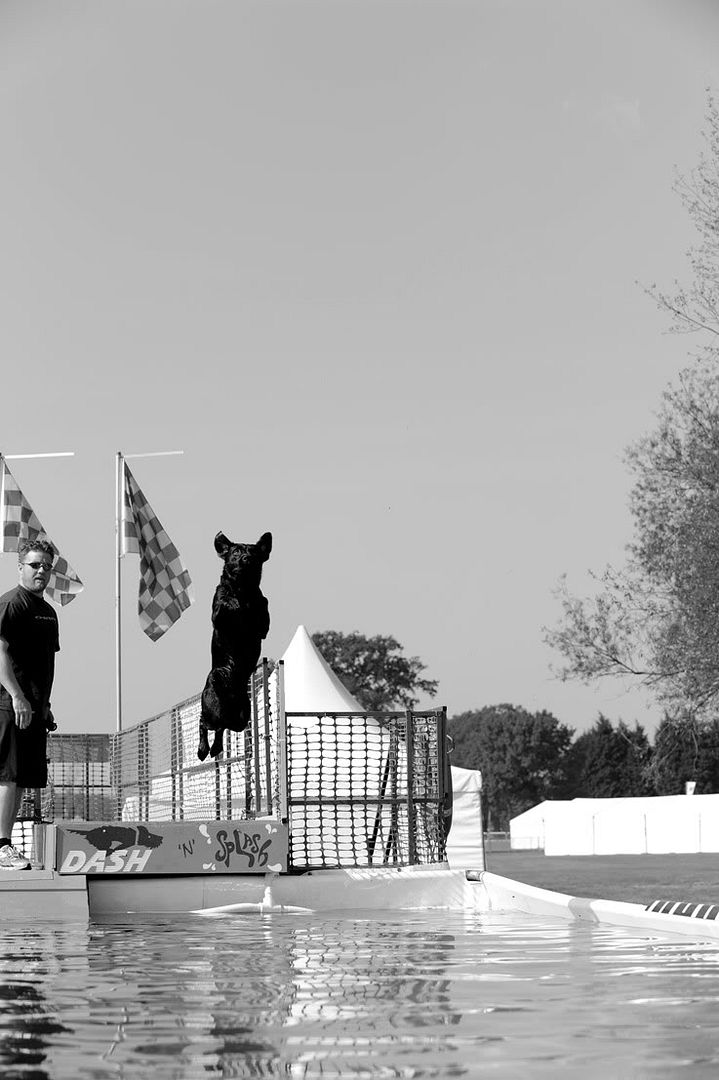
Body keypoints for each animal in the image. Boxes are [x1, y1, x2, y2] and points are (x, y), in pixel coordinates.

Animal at [197, 530, 272, 761]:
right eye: (236, 552)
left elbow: (262, 603)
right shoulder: (219, 613)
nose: (246, 559)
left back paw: (215, 748)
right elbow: (228, 602)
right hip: (213, 698)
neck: (243, 588)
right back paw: (202, 749)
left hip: (241, 717)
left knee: (222, 728)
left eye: (254, 553)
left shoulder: (262, 626)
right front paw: (237, 603)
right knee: (205, 723)